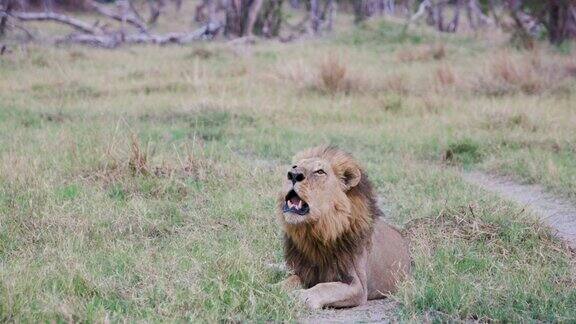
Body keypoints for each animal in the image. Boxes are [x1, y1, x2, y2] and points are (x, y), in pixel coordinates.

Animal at [278, 146, 410, 308]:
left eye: (320, 172)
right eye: (294, 167)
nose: (293, 175)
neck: (318, 232)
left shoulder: (358, 286)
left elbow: (325, 287)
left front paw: (301, 296)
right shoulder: (305, 270)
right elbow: (292, 279)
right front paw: (274, 288)